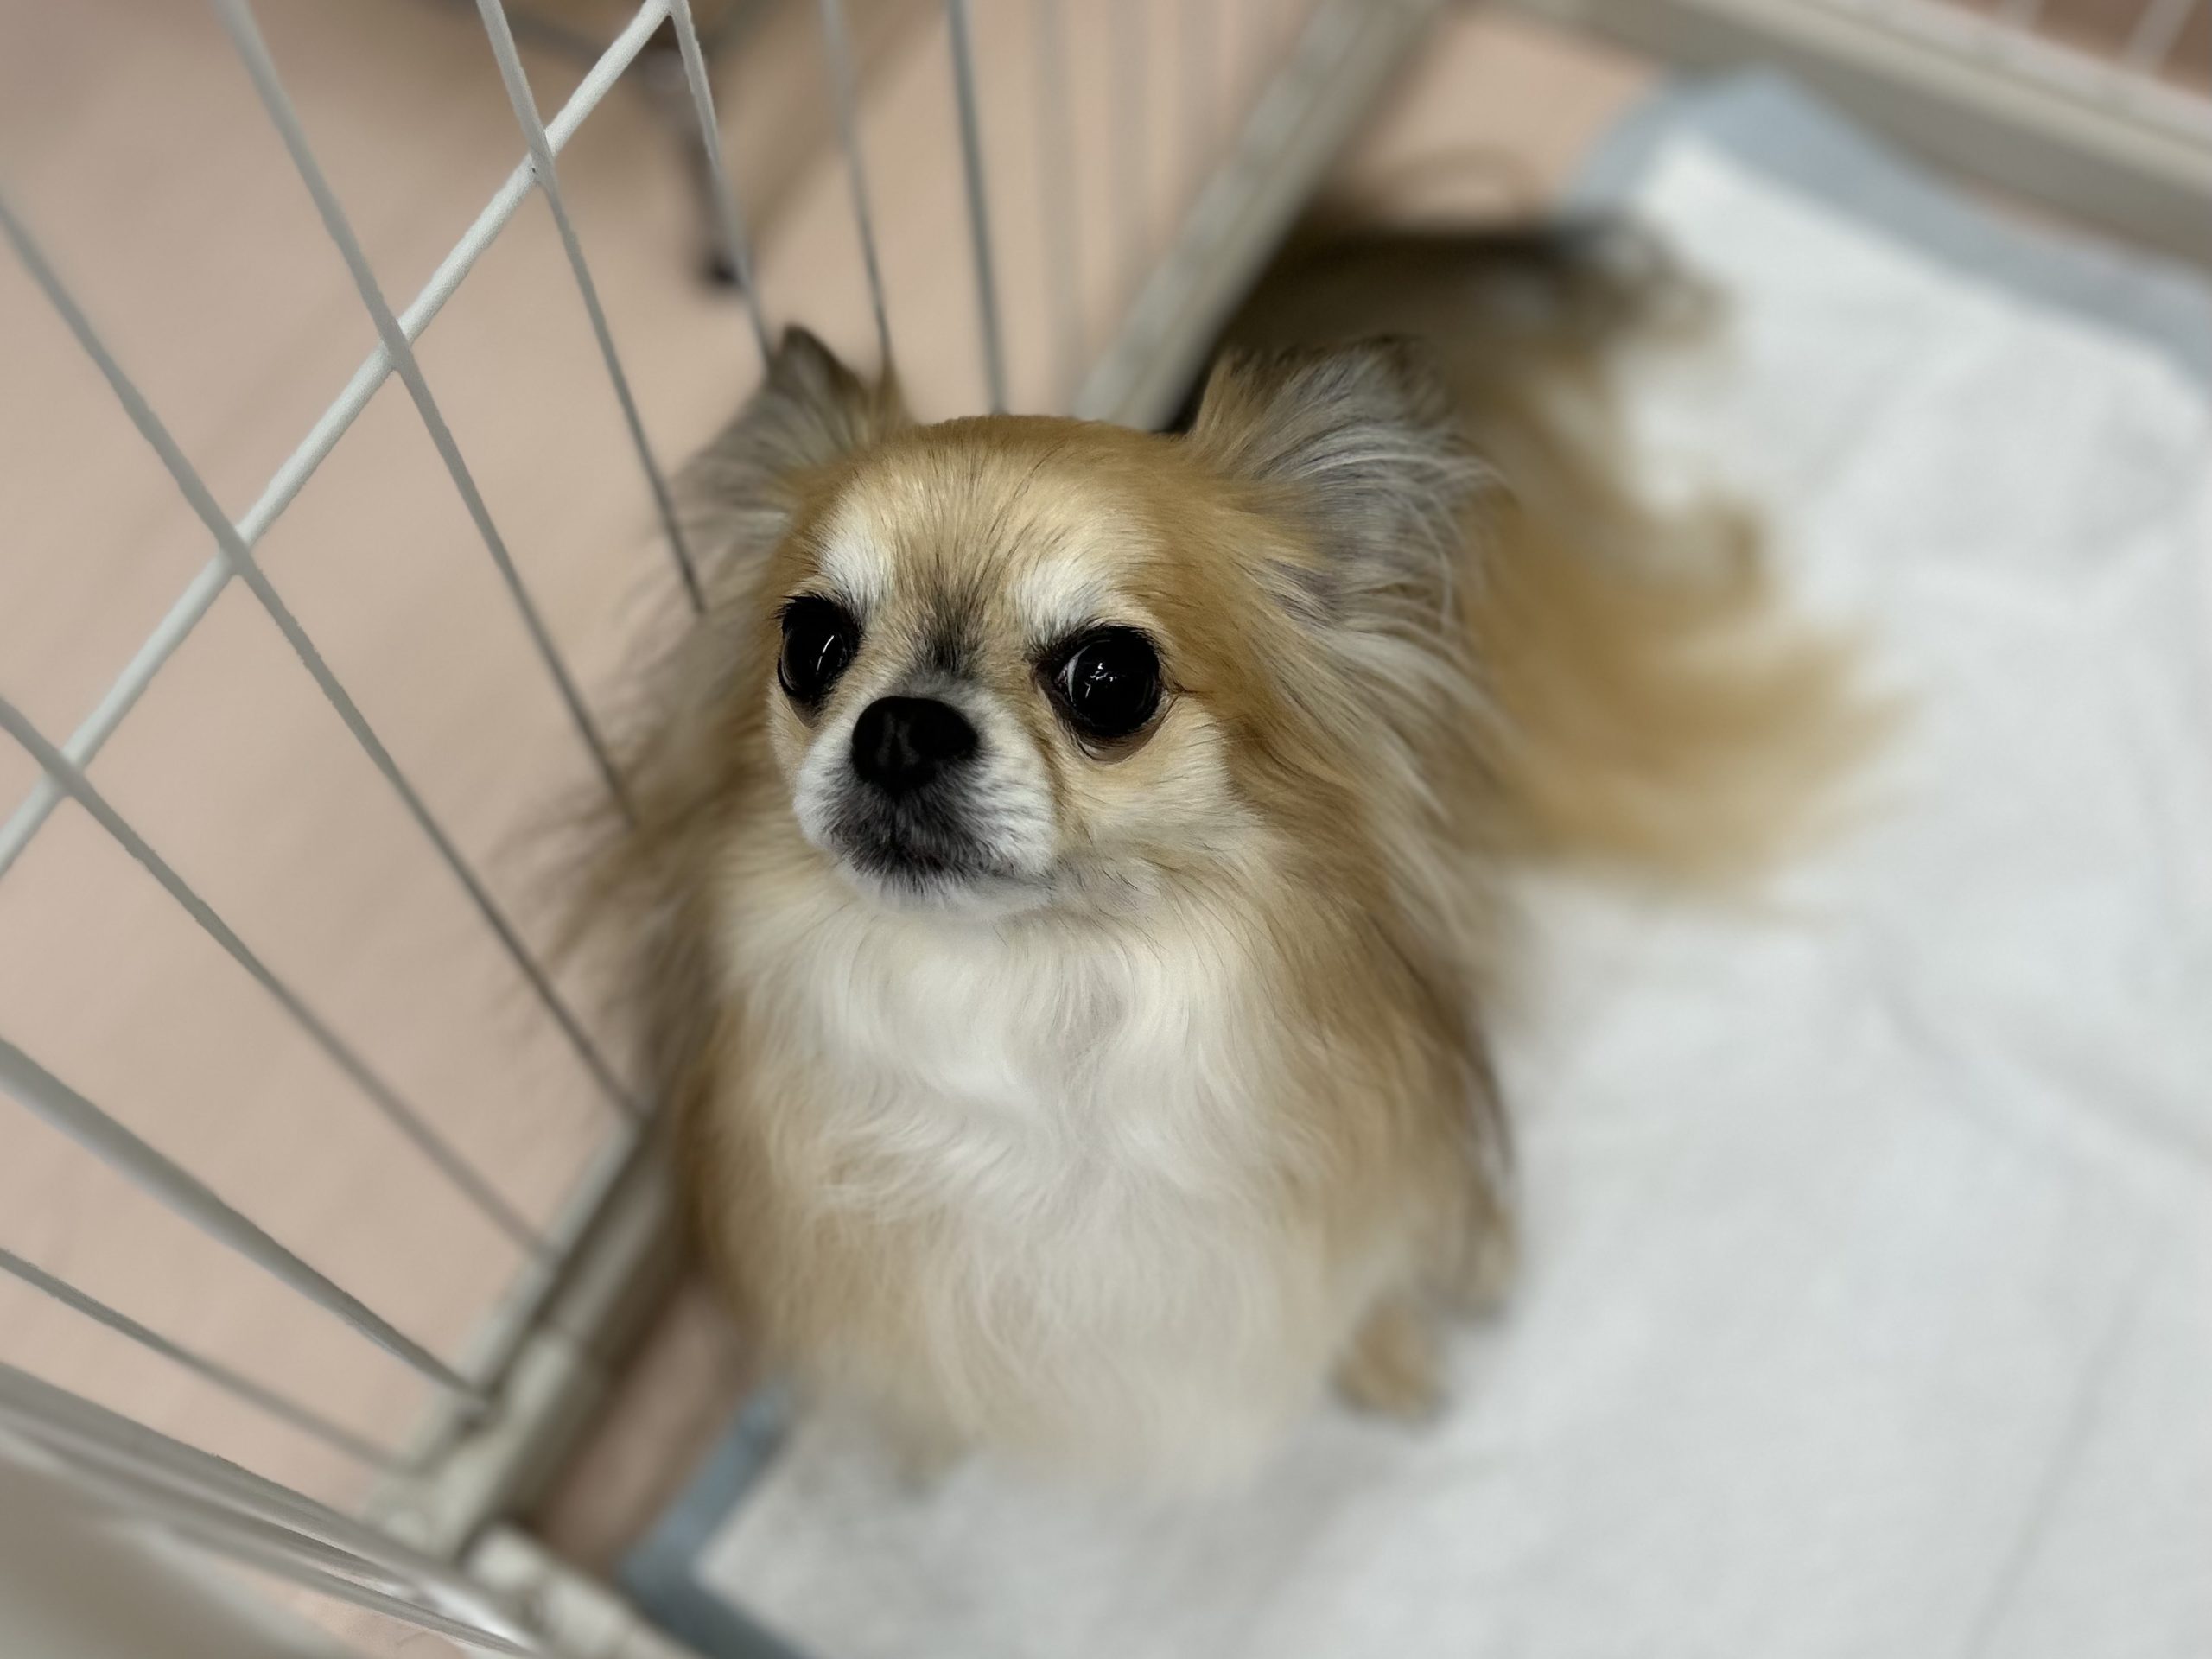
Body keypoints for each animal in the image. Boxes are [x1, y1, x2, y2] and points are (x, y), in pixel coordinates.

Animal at [565, 223, 1872, 1489]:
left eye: (1111, 678)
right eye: (810, 644)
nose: (898, 728)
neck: (1030, 1003)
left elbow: (1365, 1278)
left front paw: (1394, 1358)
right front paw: (925, 1431)